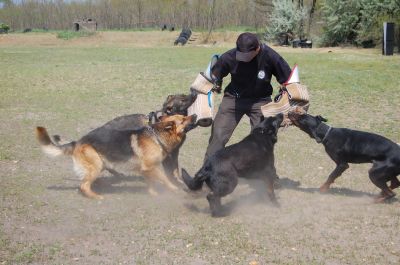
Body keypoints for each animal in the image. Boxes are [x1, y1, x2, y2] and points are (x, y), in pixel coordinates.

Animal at [36, 113, 196, 198]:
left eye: (184, 116)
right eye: (183, 120)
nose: (194, 115)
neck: (156, 136)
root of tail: (78, 142)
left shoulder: (146, 169)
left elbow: (151, 182)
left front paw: (153, 193)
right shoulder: (151, 167)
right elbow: (164, 178)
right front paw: (173, 188)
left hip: (99, 164)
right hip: (96, 164)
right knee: (83, 185)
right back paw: (96, 196)